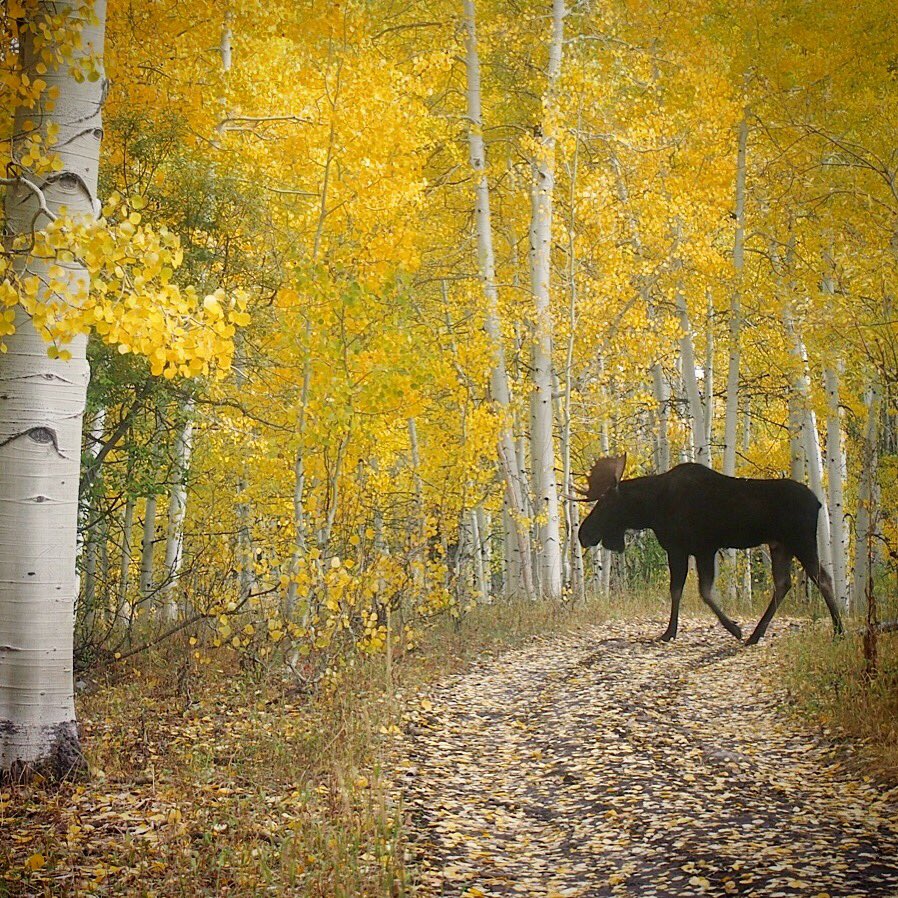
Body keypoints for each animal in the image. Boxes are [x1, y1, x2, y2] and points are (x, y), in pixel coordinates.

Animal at [575, 454, 844, 645]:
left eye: (605, 503)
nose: (583, 534)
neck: (651, 509)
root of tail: (818, 503)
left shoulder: (693, 548)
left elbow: (695, 591)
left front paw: (731, 629)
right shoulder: (693, 550)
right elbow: (685, 590)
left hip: (801, 540)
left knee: (823, 579)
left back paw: (839, 631)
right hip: (780, 545)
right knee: (783, 583)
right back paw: (756, 635)